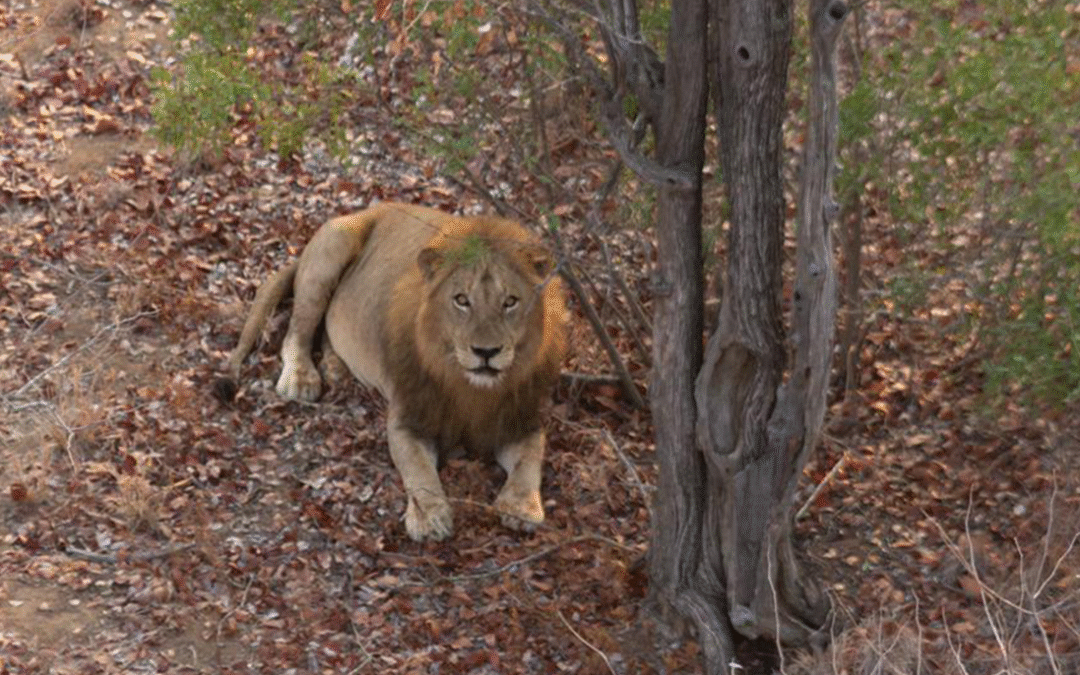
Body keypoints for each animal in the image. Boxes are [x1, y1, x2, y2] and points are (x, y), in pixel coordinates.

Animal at [221, 202, 568, 541]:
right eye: (461, 300)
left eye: (510, 301)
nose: (486, 352)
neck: (469, 387)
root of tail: (370, 208)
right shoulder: (409, 418)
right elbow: (418, 470)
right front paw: (429, 518)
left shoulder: (520, 418)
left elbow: (530, 459)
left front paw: (522, 507)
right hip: (333, 250)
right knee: (297, 330)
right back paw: (301, 378)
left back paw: (335, 369)